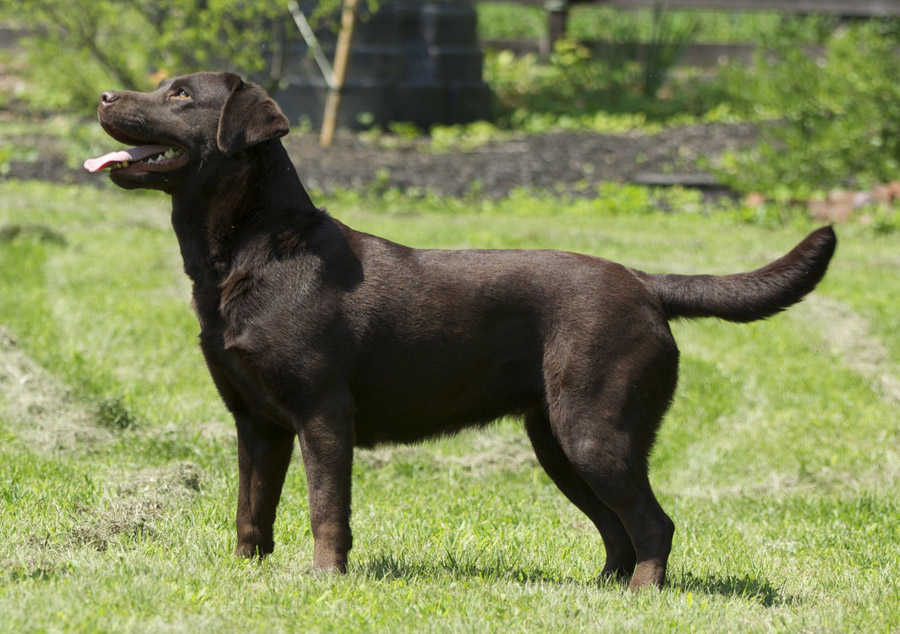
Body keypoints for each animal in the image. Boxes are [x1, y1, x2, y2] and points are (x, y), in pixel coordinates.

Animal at [85, 72, 835, 590]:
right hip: (556, 441)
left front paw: (324, 580)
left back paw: (644, 597)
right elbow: (251, 509)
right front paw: (248, 574)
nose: (103, 95)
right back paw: (597, 593)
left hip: (596, 430)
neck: (251, 248)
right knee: (618, 530)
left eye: (180, 94)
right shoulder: (257, 421)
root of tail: (647, 283)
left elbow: (326, 508)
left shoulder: (323, 414)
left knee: (652, 523)